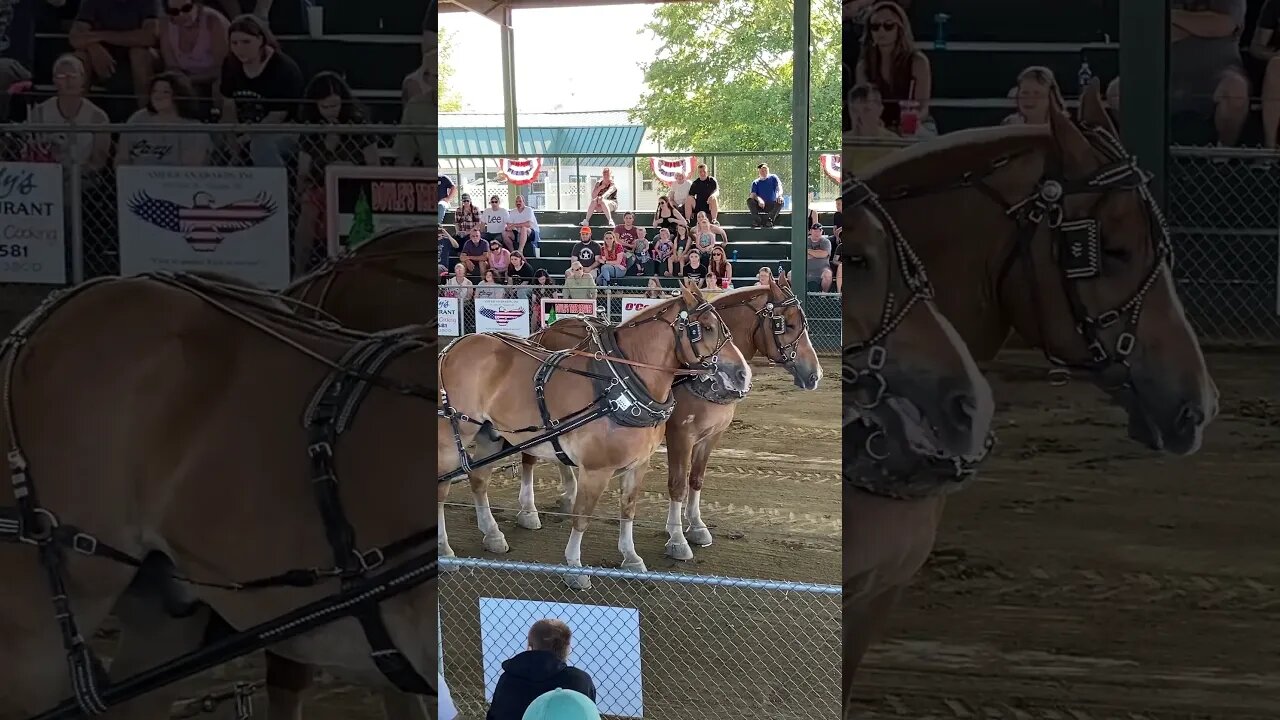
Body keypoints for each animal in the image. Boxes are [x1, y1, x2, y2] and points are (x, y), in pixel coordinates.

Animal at [440, 280, 747, 589]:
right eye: (705, 327)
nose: (743, 374)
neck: (619, 384)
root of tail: (453, 347)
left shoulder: (639, 464)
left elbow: (628, 510)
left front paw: (631, 557)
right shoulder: (596, 469)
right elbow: (582, 517)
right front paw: (575, 568)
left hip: (489, 434)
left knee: (479, 480)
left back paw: (492, 535)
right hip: (453, 439)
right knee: (442, 490)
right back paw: (446, 551)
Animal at [512, 271, 829, 563]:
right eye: (786, 324)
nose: (815, 375)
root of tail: (543, 333)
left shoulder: (710, 436)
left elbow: (696, 480)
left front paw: (697, 526)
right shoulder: (681, 435)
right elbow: (677, 485)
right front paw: (677, 539)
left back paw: (568, 492)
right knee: (528, 457)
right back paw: (528, 511)